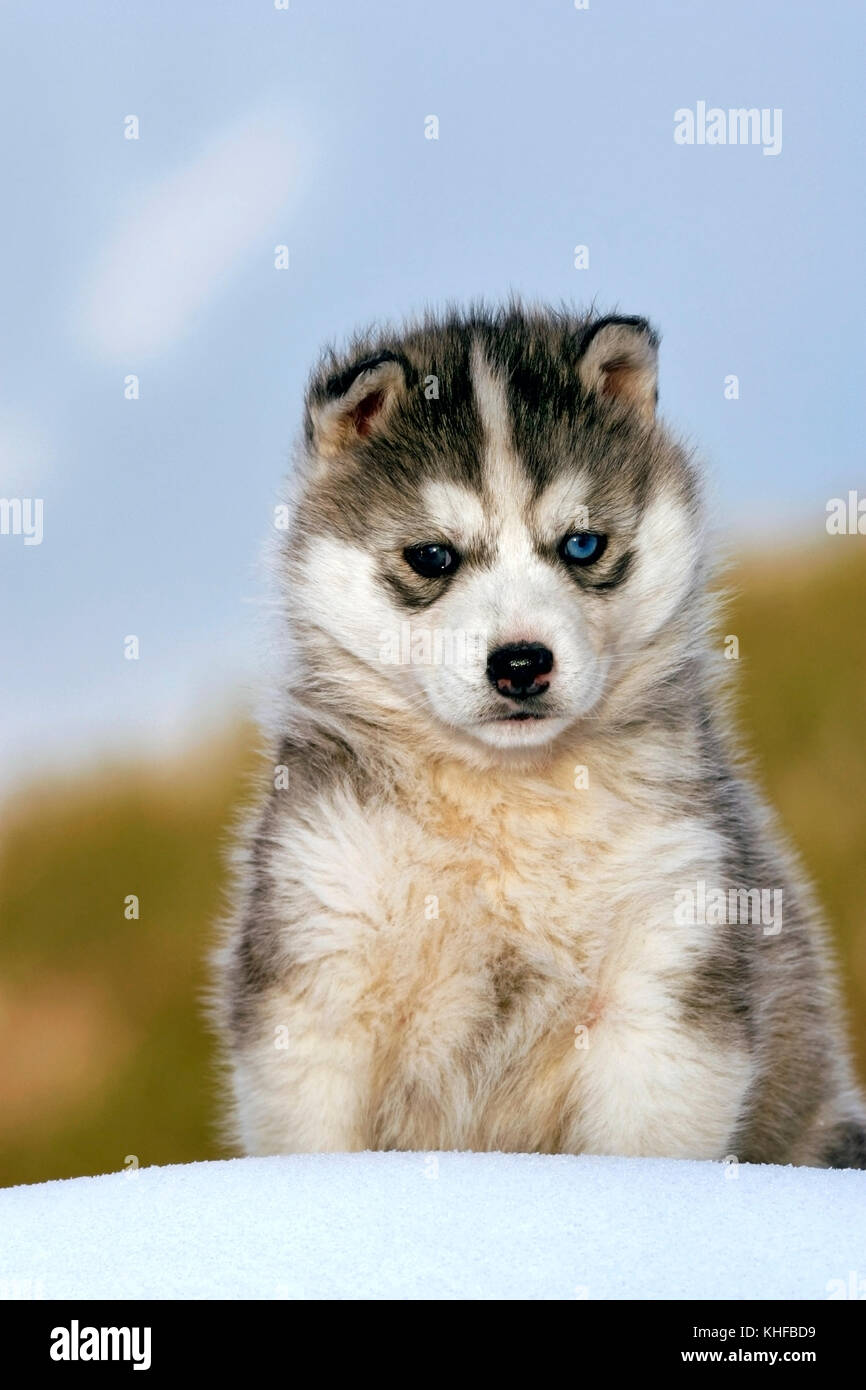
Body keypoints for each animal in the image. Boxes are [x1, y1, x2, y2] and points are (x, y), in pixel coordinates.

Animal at [215, 309, 866, 1167]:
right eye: (432, 555)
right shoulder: (319, 964)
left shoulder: (669, 970)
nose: (521, 663)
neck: (506, 800)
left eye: (583, 545)